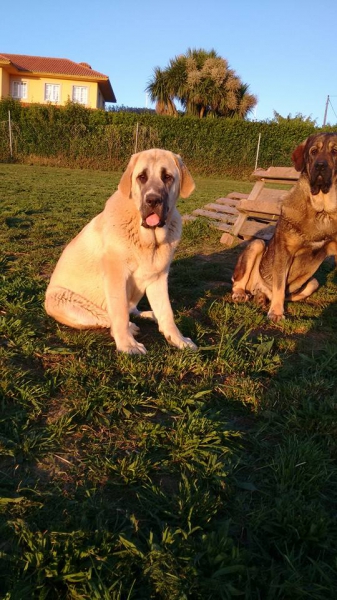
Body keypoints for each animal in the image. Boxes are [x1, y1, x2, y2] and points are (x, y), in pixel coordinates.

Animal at [231, 133, 336, 322]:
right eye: (313, 152)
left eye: (335, 151)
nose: (320, 166)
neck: (322, 211)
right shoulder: (284, 252)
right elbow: (279, 285)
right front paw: (276, 312)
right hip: (256, 245)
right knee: (239, 282)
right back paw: (241, 294)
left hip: (312, 282)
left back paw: (261, 298)